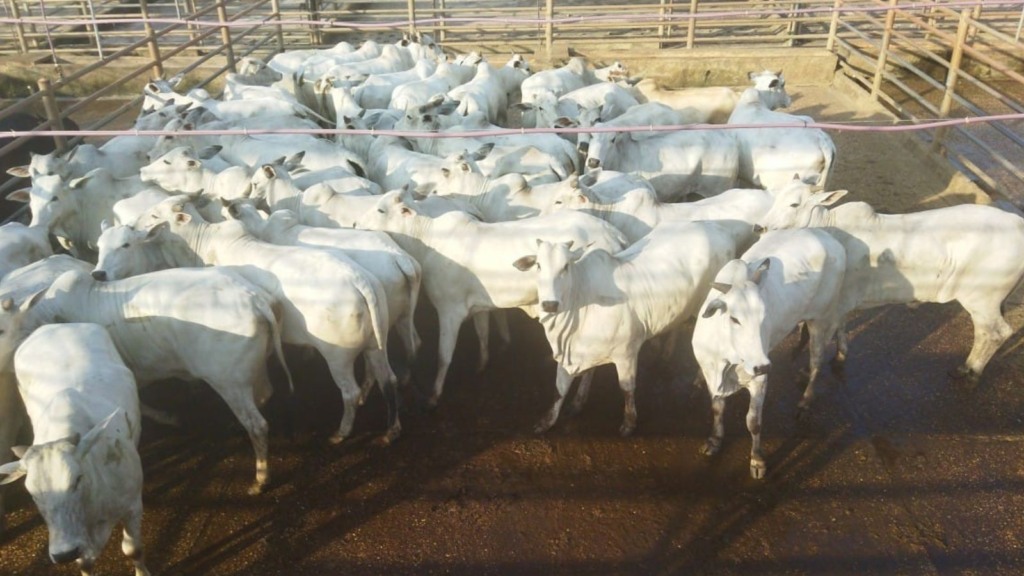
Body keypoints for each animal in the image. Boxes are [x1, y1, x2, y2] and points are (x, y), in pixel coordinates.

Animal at [0, 323, 149, 573]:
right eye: (31, 491)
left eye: (77, 479)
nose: (64, 553)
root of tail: (55, 325)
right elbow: (85, 564)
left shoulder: (132, 505)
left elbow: (133, 550)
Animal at [516, 219, 741, 434]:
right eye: (538, 266)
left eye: (566, 266)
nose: (549, 304)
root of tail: (716, 228)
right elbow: (561, 388)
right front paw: (552, 418)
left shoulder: (626, 353)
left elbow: (626, 389)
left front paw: (629, 423)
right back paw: (666, 354)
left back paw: (698, 381)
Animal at [696, 226, 847, 477]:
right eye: (734, 318)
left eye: (765, 316)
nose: (762, 365)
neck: (727, 358)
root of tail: (826, 237)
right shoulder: (710, 375)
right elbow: (717, 408)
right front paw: (715, 440)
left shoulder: (759, 381)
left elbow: (753, 422)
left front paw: (757, 460)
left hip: (820, 318)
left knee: (817, 361)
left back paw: (805, 402)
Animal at [757, 181, 1024, 379]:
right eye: (776, 197)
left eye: (794, 203)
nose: (760, 227)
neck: (829, 229)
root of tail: (1018, 223)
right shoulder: (843, 301)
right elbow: (841, 327)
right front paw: (841, 354)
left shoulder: (834, 304)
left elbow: (822, 334)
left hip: (982, 299)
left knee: (995, 333)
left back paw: (969, 370)